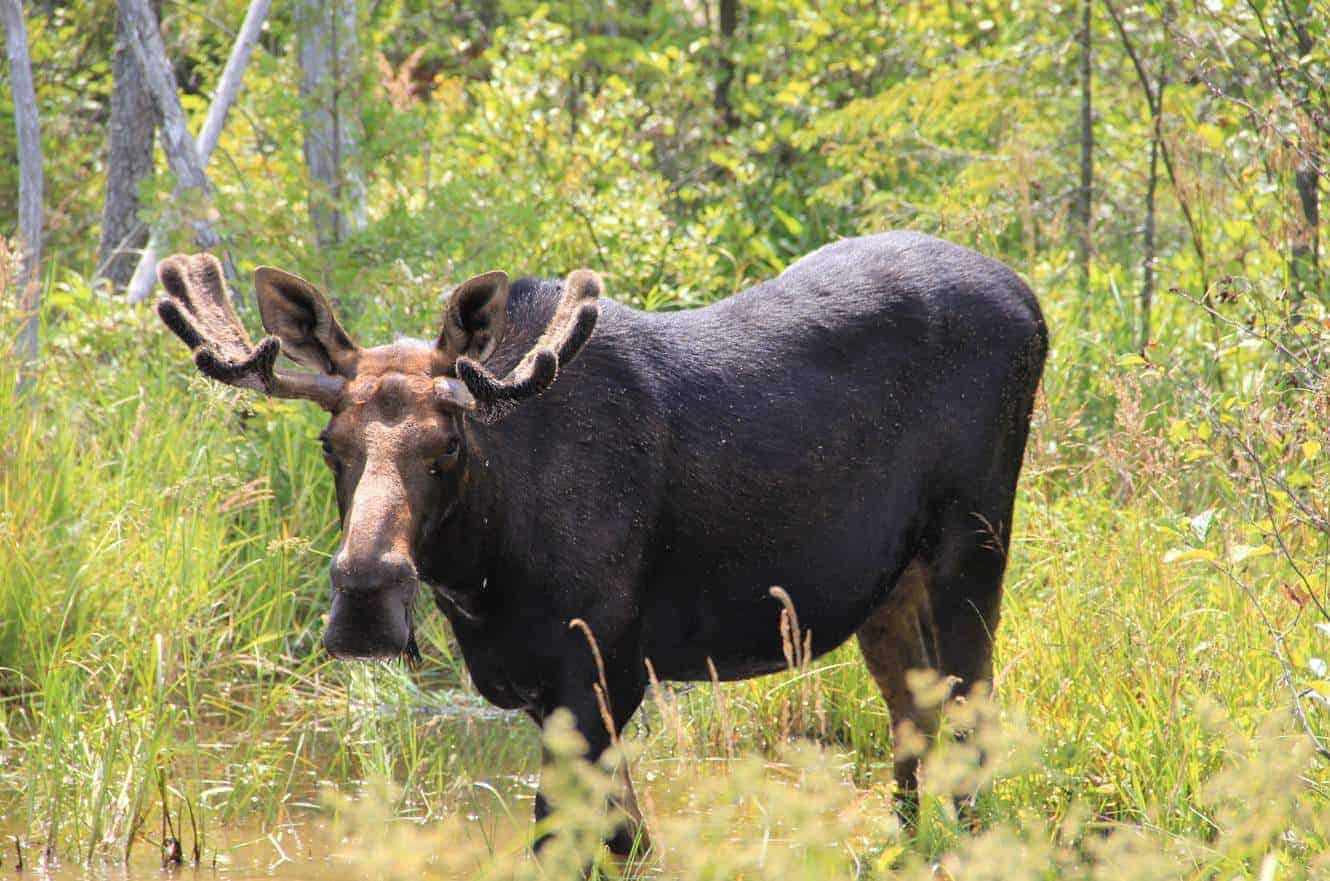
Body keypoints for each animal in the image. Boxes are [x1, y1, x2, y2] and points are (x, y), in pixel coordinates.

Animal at [153, 231, 1046, 856]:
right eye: (329, 445)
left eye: (448, 447)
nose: (366, 594)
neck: (484, 571)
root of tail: (1034, 304)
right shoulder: (546, 687)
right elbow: (627, 838)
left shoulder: (601, 668)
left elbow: (571, 840)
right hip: (890, 591)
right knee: (914, 725)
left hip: (975, 547)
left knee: (974, 718)